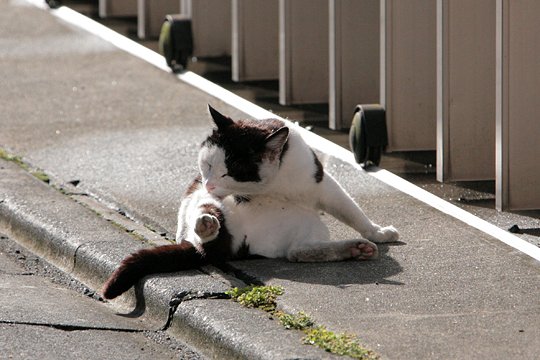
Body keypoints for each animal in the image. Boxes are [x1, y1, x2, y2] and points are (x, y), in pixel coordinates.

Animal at [101, 107, 398, 300]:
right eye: (208, 165)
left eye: (229, 172)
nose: (210, 185)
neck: (272, 187)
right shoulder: (196, 186)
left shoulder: (321, 183)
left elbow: (350, 210)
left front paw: (377, 232)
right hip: (214, 216)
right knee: (209, 225)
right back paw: (206, 225)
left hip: (304, 228)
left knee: (299, 251)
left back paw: (356, 248)